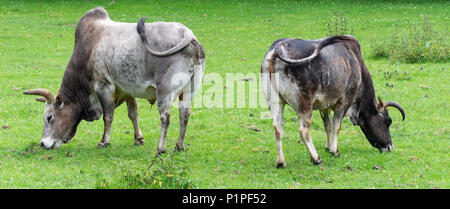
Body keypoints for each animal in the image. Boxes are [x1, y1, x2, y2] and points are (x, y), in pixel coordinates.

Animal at [260, 35, 404, 167]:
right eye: (388, 121)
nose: (390, 146)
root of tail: (277, 49)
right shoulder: (345, 101)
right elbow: (336, 126)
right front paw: (334, 151)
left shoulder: (324, 106)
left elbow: (327, 126)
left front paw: (328, 147)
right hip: (305, 105)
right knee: (303, 131)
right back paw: (316, 158)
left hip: (275, 102)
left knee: (278, 127)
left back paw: (281, 162)